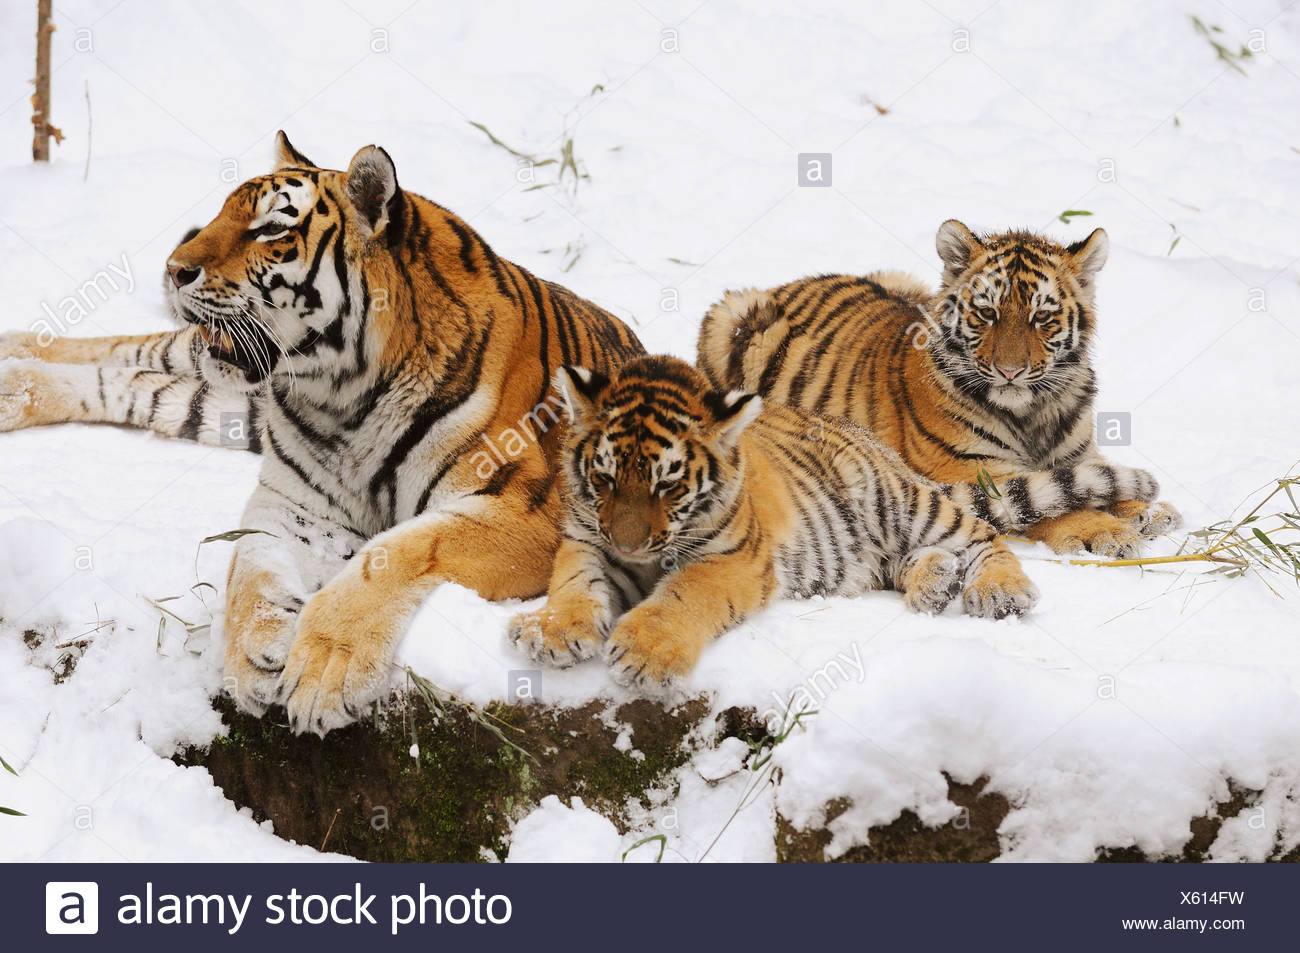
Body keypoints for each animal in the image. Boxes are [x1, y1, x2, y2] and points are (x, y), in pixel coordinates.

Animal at [0, 132, 644, 735]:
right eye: (222, 213)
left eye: (270, 228)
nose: (173, 268)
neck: (343, 399)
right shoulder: (291, 503)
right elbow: (251, 565)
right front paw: (255, 652)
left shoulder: (527, 514)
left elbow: (398, 551)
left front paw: (324, 671)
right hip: (206, 363)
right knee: (135, 351)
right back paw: (14, 365)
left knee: (138, 380)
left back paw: (12, 384)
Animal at [507, 355, 1045, 687]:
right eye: (605, 478)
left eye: (668, 486)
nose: (629, 546)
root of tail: (877, 443)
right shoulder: (587, 541)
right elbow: (575, 583)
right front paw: (551, 630)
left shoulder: (732, 559)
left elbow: (682, 596)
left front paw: (645, 652)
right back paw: (935, 581)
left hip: (895, 501)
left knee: (982, 534)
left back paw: (998, 591)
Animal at [697, 220, 1181, 558]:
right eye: (987, 313)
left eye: (1041, 317)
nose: (1010, 371)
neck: (1033, 412)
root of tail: (792, 282)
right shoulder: (972, 471)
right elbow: (1060, 501)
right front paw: (1107, 531)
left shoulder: (1079, 457)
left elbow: (1102, 479)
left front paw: (1151, 511)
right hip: (730, 315)